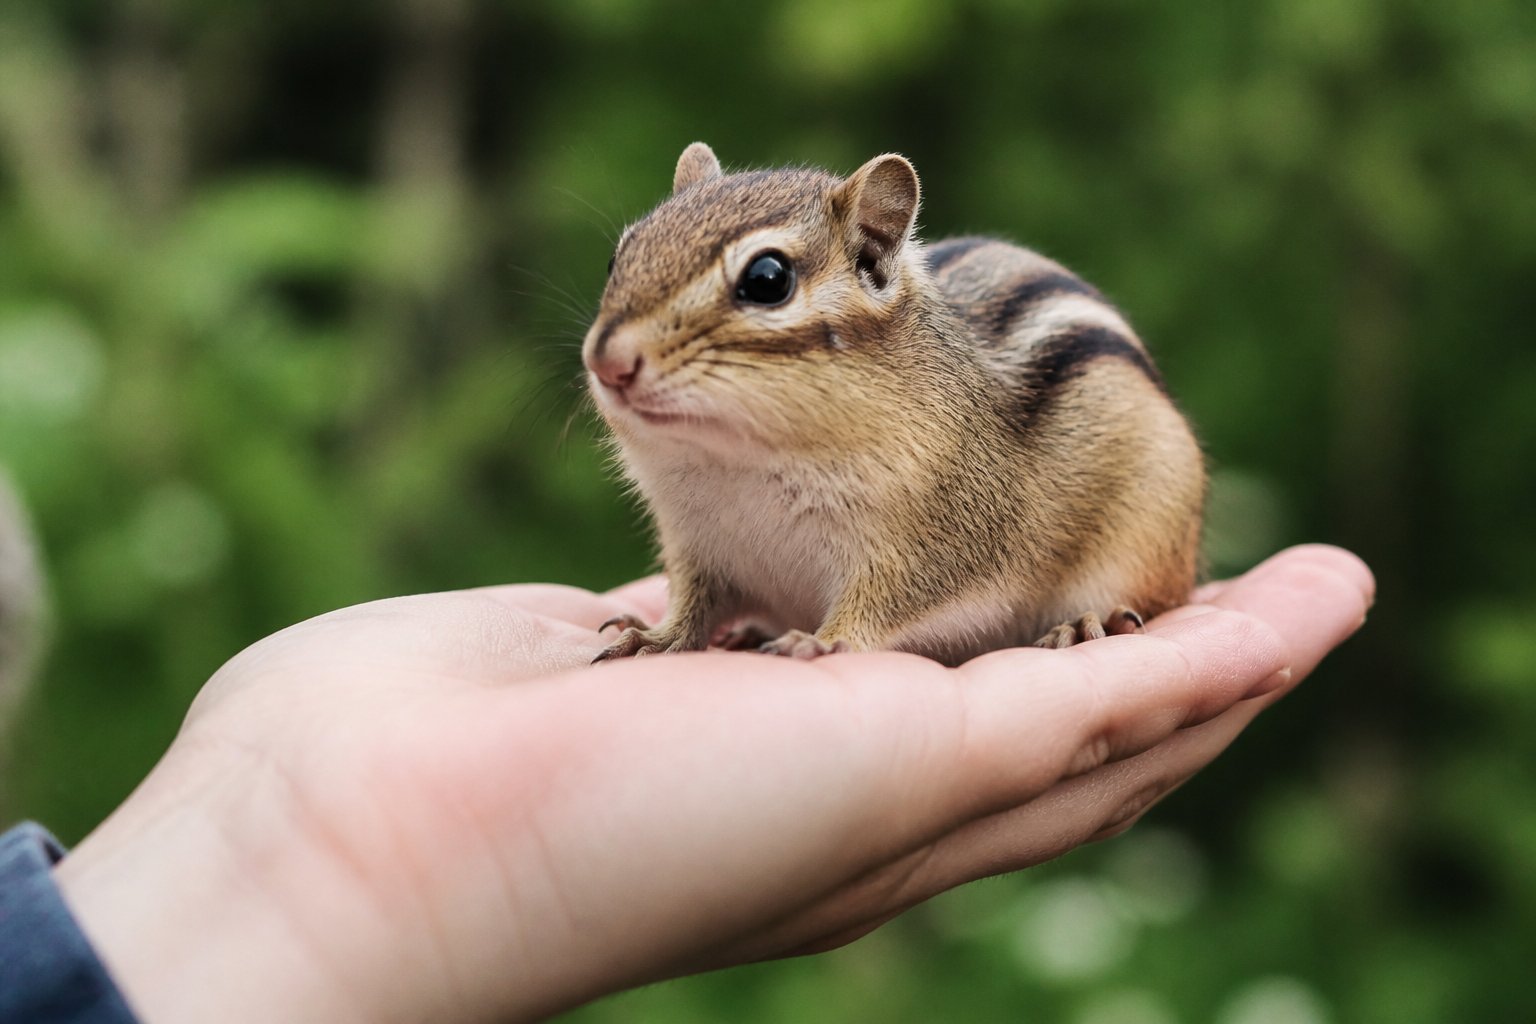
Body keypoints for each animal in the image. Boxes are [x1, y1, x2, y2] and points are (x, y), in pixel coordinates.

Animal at [582, 142, 1204, 665]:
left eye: (768, 279)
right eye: (618, 257)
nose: (608, 361)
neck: (738, 460)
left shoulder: (946, 536)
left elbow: (888, 603)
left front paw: (822, 640)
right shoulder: (697, 546)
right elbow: (693, 606)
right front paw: (652, 636)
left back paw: (1085, 620)